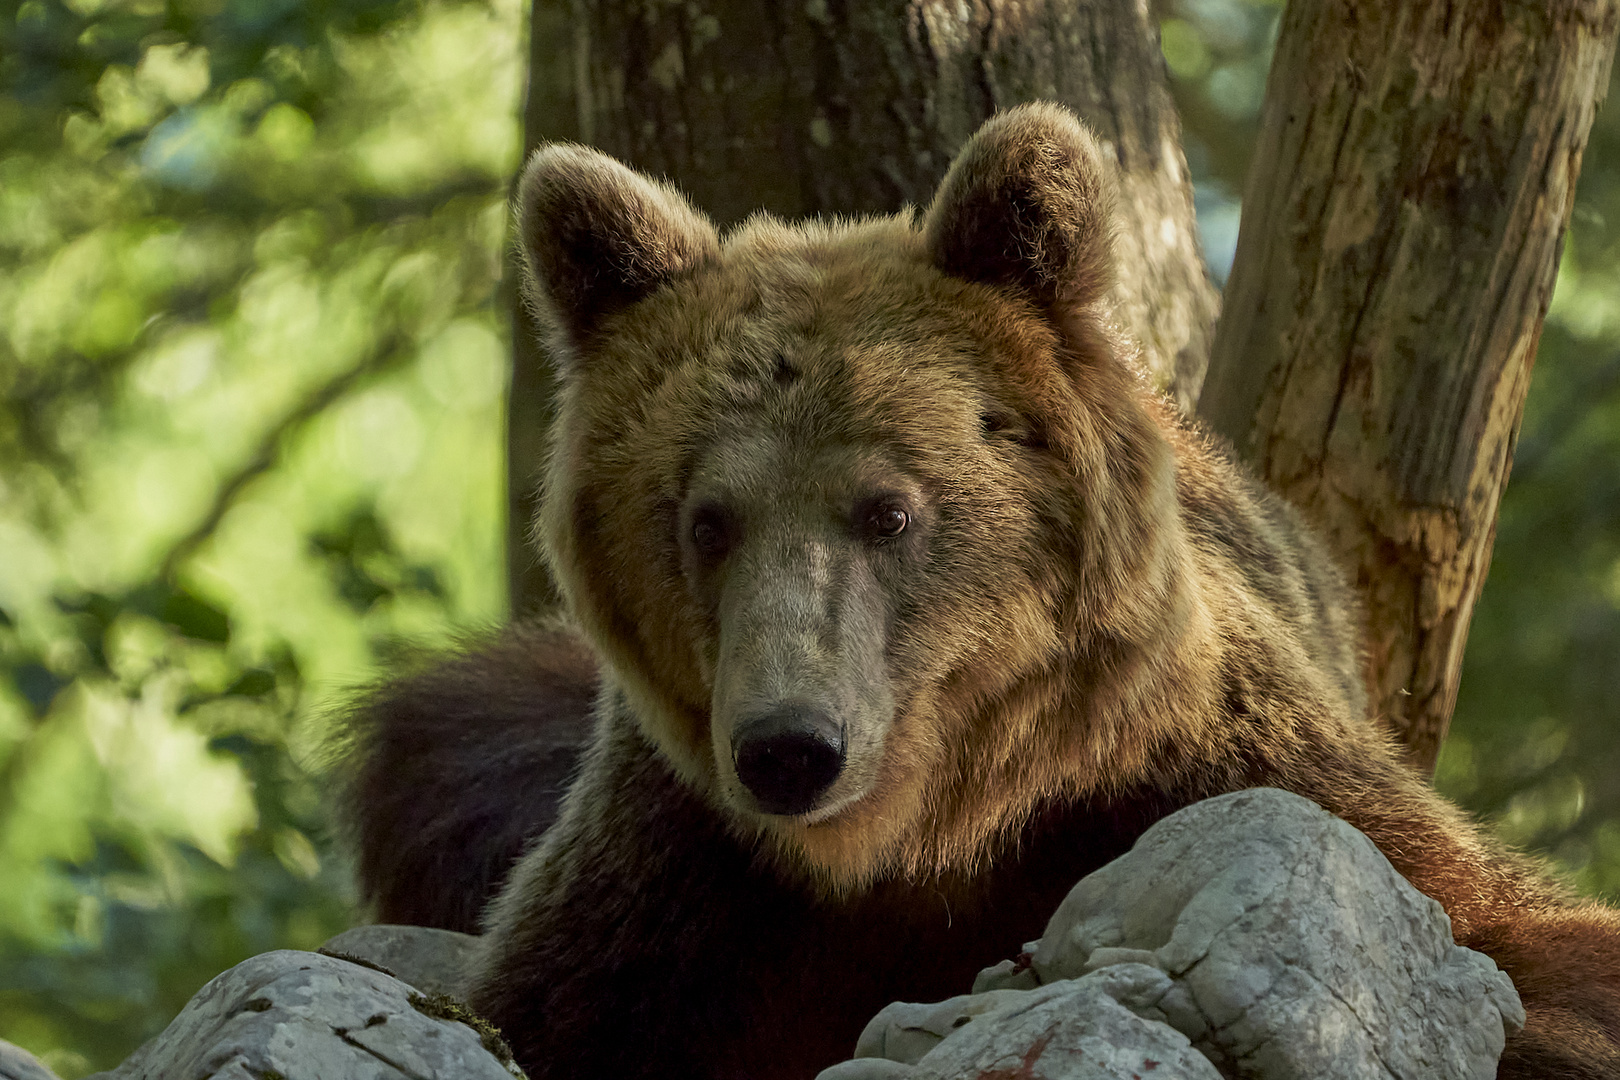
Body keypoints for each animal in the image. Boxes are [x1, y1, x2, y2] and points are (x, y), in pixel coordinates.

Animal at [338, 103, 1620, 1080]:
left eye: (887, 510)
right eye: (706, 520)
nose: (790, 749)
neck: (927, 838)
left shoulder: (1205, 770)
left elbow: (1516, 946)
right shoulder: (688, 884)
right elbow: (553, 1003)